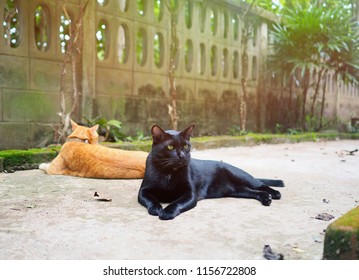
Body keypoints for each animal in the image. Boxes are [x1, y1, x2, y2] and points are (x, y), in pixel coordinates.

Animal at [138, 126, 284, 220]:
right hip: (238, 190)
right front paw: (156, 208)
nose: (182, 156)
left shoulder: (190, 193)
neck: (169, 172)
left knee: (260, 184)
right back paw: (266, 198)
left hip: (241, 176)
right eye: (170, 147)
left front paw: (167, 211)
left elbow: (177, 203)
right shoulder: (143, 191)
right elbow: (151, 199)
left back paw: (274, 194)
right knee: (253, 192)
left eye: (186, 146)